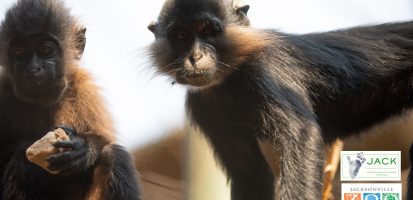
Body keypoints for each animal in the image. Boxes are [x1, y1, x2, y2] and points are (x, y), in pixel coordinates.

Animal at [0, 0, 140, 199]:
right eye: (19, 51)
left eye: (46, 50)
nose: (33, 69)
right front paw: (25, 151)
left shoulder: (84, 89)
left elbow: (104, 141)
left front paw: (84, 148)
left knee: (113, 155)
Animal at [150, 0, 412, 200]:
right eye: (181, 35)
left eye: (208, 31)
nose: (195, 56)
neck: (232, 78)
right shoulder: (203, 105)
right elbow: (251, 174)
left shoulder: (266, 69)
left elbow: (302, 134)